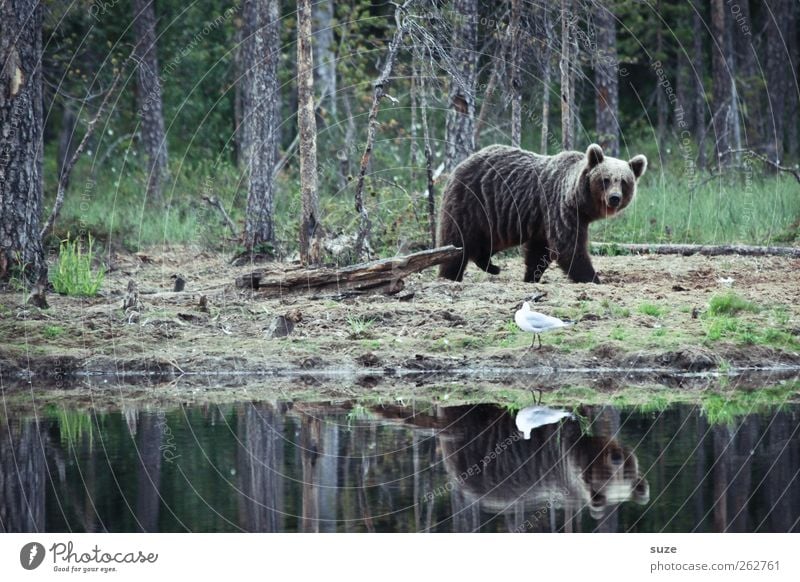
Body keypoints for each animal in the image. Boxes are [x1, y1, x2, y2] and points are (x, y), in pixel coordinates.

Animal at [434, 145, 648, 284]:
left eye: (624, 181)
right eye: (605, 179)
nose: (614, 198)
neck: (578, 201)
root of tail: (458, 166)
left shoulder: (542, 222)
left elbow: (539, 253)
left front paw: (531, 277)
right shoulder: (560, 209)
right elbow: (569, 248)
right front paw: (593, 278)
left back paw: (491, 266)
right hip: (471, 205)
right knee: (458, 243)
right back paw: (450, 275)